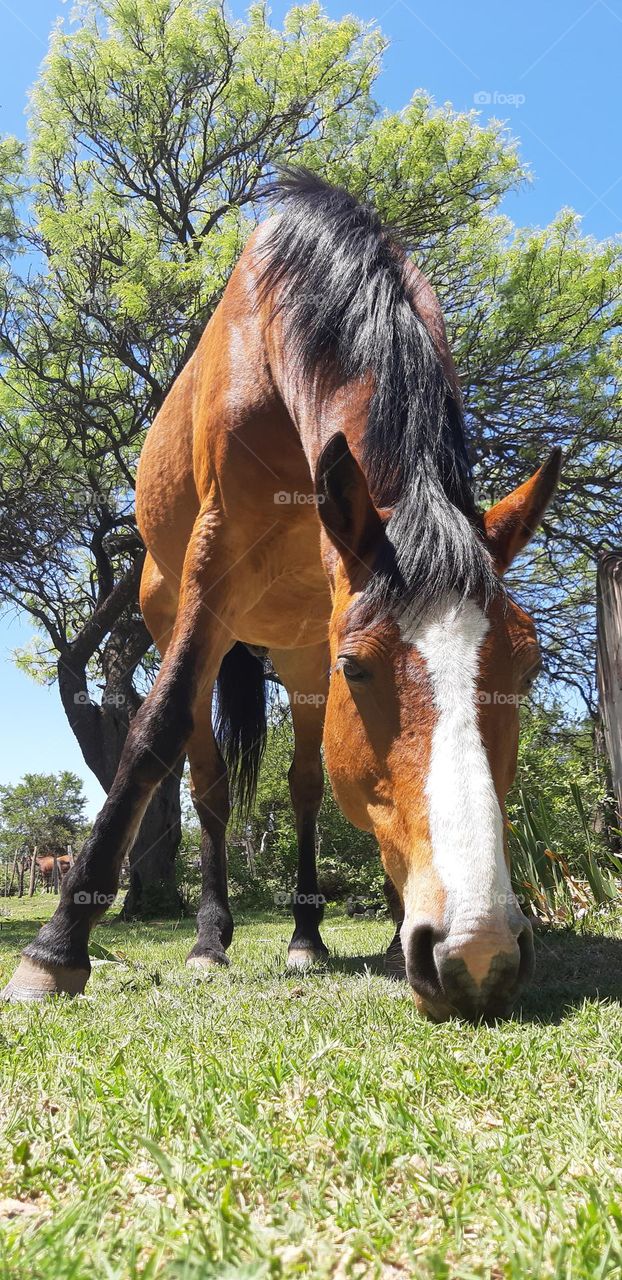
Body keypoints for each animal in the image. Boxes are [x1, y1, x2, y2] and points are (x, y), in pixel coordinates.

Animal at [2, 175, 560, 1024]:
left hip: (297, 659)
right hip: (182, 618)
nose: (478, 953)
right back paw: (208, 942)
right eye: (359, 668)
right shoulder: (215, 563)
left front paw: (388, 923)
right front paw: (55, 950)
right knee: (204, 782)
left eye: (526, 669)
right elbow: (151, 735)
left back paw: (306, 937)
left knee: (301, 785)